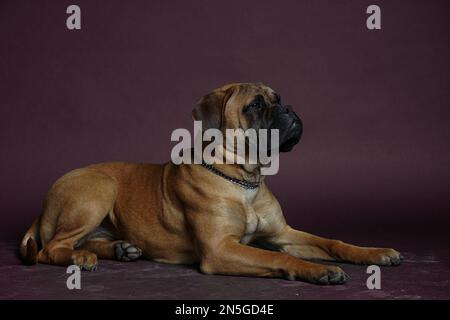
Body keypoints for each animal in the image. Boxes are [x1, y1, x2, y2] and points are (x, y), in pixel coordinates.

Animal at [19, 82, 402, 284]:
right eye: (256, 105)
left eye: (278, 98)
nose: (289, 109)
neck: (243, 180)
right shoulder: (221, 249)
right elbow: (280, 258)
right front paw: (317, 270)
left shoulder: (284, 234)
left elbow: (332, 242)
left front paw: (374, 252)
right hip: (99, 188)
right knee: (52, 248)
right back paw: (81, 257)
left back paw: (119, 249)